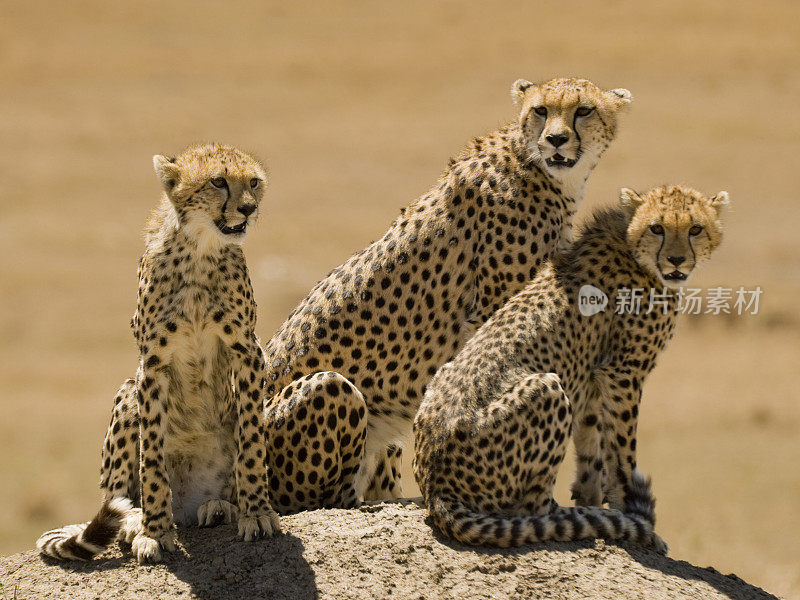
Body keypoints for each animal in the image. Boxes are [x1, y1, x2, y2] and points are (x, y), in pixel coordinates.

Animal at [36, 142, 282, 564]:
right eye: (218, 182)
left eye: (253, 182)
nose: (249, 208)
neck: (201, 248)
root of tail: (187, 503)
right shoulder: (152, 361)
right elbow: (151, 454)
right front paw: (154, 531)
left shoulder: (247, 349)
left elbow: (251, 441)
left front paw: (256, 512)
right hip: (126, 393)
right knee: (117, 490)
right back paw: (135, 519)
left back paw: (220, 507)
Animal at [260, 76, 632, 510]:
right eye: (541, 110)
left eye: (584, 110)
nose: (556, 139)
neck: (534, 165)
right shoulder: (496, 307)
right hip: (331, 390)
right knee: (321, 499)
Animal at [410, 184, 728, 548]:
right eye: (657, 228)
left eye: (695, 229)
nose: (676, 260)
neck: (632, 246)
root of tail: (434, 488)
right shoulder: (623, 373)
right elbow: (622, 452)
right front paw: (629, 516)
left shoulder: (593, 379)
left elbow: (592, 446)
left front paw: (595, 504)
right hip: (547, 387)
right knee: (530, 508)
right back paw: (562, 517)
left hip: (445, 372)